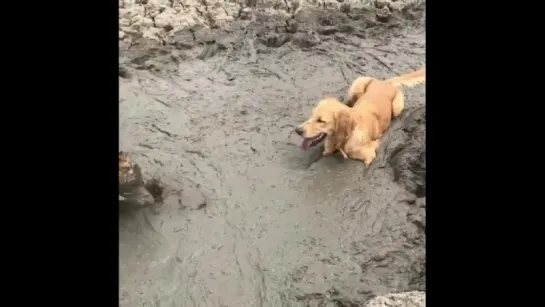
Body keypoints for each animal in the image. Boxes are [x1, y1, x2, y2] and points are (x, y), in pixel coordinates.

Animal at [294, 69, 424, 167]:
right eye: (312, 115)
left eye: (321, 121)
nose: (297, 130)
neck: (343, 139)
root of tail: (385, 83)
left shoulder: (369, 154)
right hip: (358, 83)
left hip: (396, 107)